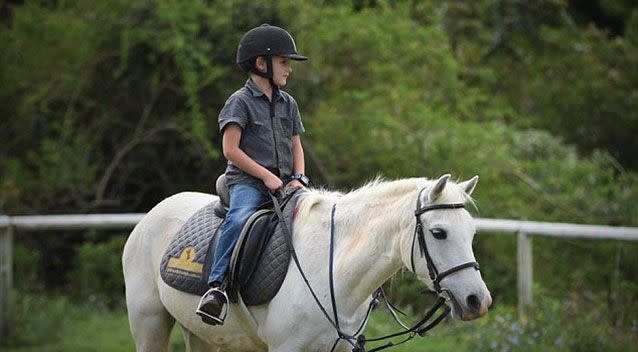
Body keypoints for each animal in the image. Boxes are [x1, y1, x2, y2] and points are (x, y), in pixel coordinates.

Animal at [125, 175, 496, 350]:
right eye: (438, 232)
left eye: (472, 233)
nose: (478, 301)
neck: (332, 271)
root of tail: (150, 216)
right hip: (149, 324)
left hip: (200, 332)